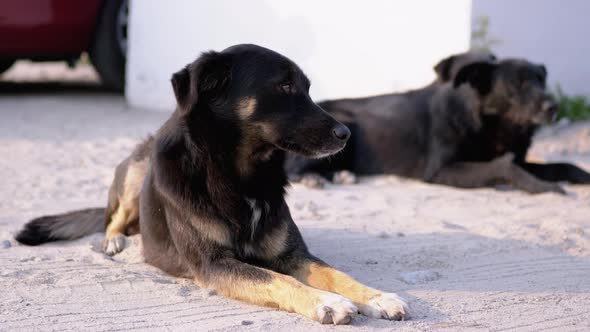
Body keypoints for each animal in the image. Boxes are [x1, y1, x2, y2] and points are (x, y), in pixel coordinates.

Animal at [16, 44, 410, 324]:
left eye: (308, 89)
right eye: (284, 86)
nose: (345, 134)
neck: (241, 177)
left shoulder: (293, 255)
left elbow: (334, 273)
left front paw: (376, 296)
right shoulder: (214, 263)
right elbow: (278, 279)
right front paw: (326, 302)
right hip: (138, 170)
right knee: (113, 218)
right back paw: (114, 240)